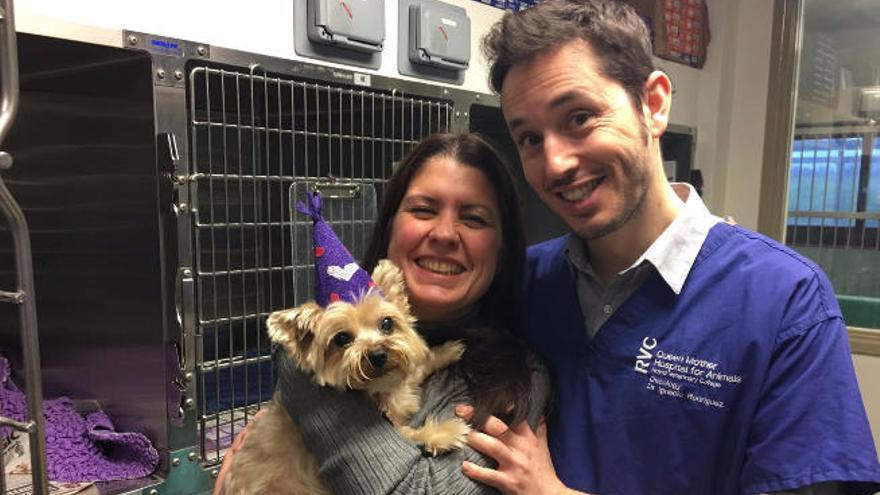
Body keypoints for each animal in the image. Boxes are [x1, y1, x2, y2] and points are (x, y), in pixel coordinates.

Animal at [220, 262, 468, 494]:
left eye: (387, 324)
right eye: (342, 338)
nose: (378, 355)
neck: (379, 388)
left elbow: (417, 367)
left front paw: (447, 351)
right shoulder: (394, 427)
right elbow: (409, 434)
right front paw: (444, 433)